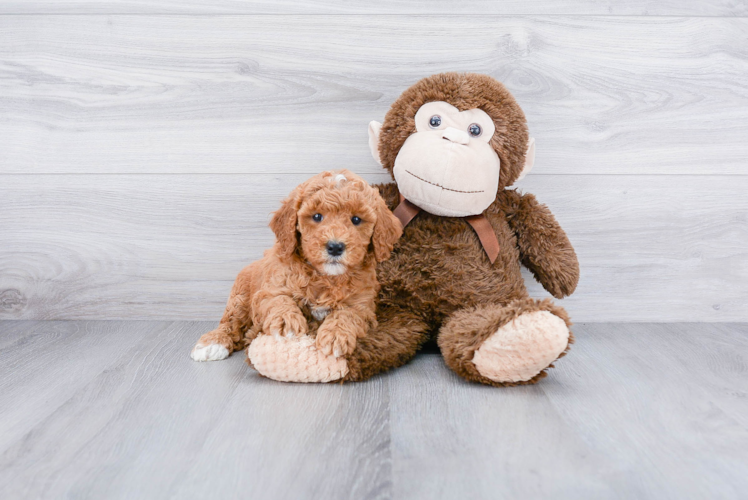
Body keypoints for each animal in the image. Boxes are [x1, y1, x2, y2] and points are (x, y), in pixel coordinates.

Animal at [193, 169, 404, 368]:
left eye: (356, 220)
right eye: (317, 216)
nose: (335, 247)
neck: (325, 277)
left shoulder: (363, 304)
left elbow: (348, 313)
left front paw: (336, 335)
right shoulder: (269, 288)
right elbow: (279, 299)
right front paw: (286, 321)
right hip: (240, 297)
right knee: (230, 322)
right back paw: (212, 343)